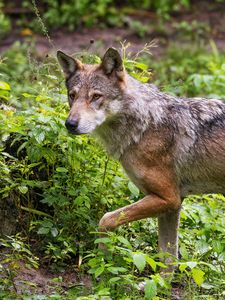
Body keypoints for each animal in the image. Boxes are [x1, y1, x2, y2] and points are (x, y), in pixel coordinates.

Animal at [57, 47, 225, 272]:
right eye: (72, 96)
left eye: (96, 97)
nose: (70, 124)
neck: (144, 126)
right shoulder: (173, 205)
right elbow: (167, 261)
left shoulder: (168, 198)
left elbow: (106, 219)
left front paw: (101, 260)